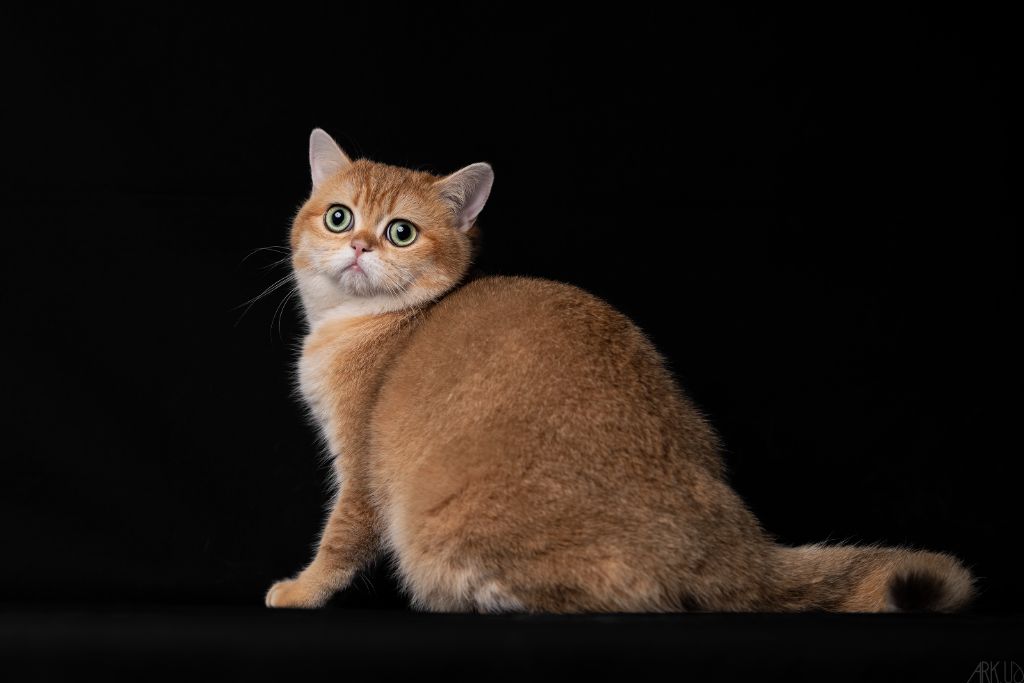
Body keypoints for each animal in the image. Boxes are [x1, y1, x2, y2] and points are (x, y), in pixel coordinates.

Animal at [260, 127, 970, 614]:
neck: (372, 324)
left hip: (444, 530)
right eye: (339, 217)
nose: (358, 245)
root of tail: (733, 542)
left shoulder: (362, 468)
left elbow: (341, 539)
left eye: (401, 232)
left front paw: (301, 590)